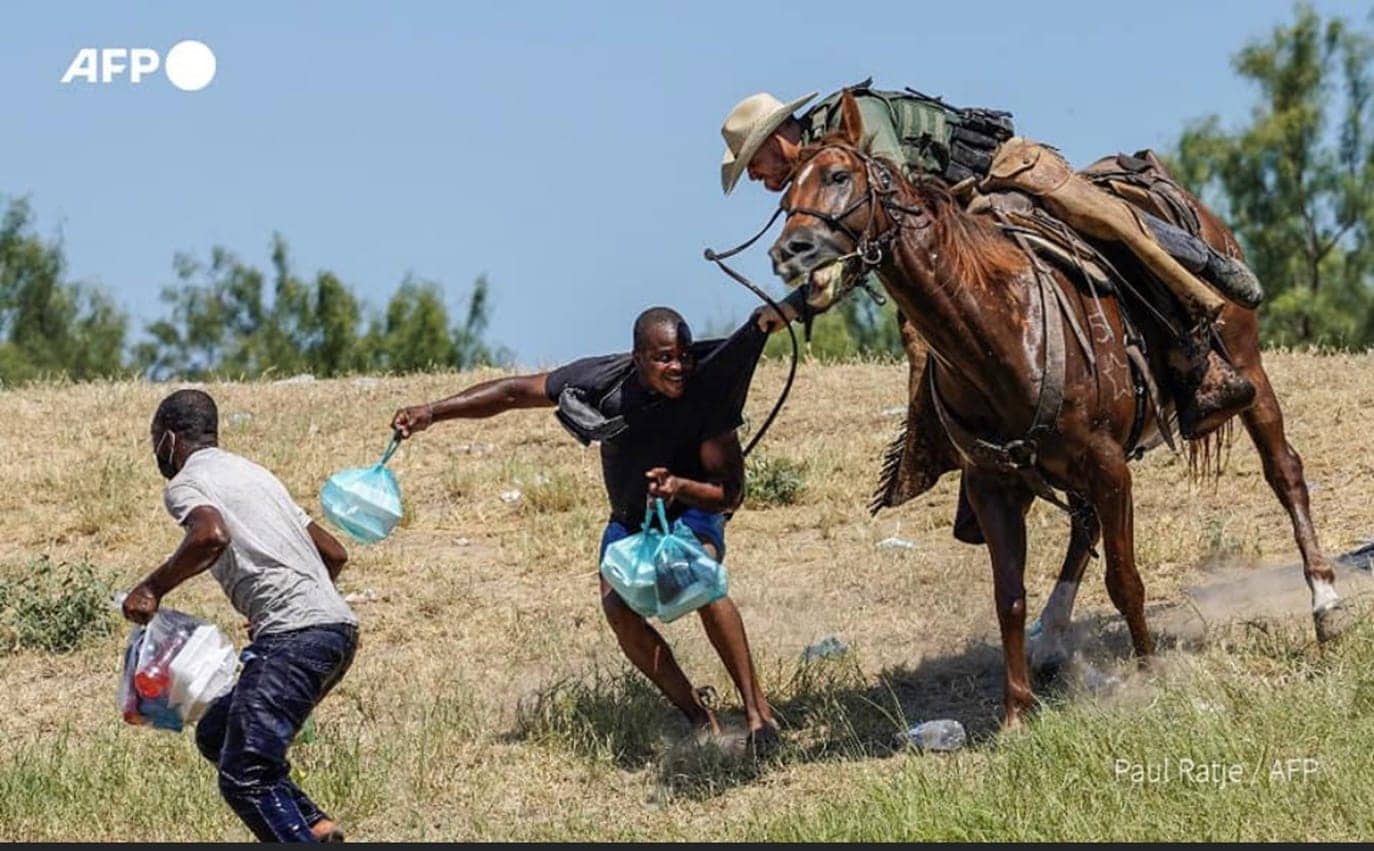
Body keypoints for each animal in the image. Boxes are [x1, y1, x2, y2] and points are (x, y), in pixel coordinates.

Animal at [774, 93, 1352, 731]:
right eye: (785, 193)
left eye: (838, 176)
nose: (789, 251)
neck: (998, 325)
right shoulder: (994, 484)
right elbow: (1009, 596)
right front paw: (1016, 712)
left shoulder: (1108, 465)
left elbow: (1124, 579)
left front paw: (1150, 674)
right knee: (1084, 525)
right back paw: (1050, 638)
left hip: (1248, 366)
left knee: (1284, 470)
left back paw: (1325, 604)